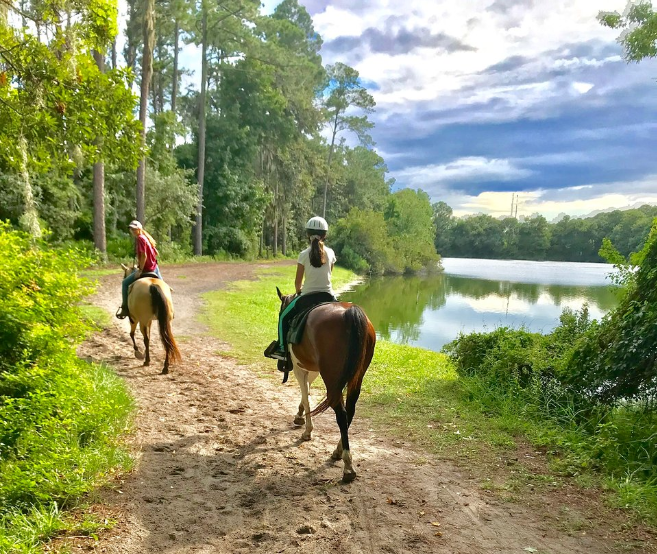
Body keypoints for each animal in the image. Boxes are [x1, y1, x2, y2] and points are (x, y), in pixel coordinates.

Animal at [274, 286, 374, 480]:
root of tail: (350, 312)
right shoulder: (313, 369)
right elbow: (307, 392)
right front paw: (299, 416)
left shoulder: (299, 368)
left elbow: (306, 396)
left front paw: (307, 430)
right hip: (356, 377)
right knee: (350, 411)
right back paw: (338, 450)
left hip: (332, 379)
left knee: (341, 414)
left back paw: (347, 465)